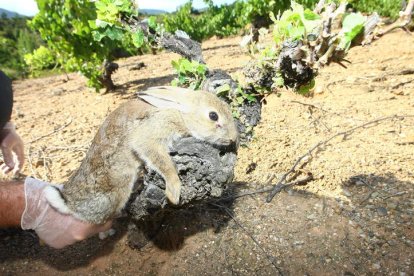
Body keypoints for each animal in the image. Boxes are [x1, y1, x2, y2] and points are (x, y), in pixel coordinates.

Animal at [43, 86, 238, 224]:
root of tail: (68, 202)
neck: (181, 113)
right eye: (213, 116)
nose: (232, 138)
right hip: (116, 190)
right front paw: (174, 192)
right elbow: (163, 162)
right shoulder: (151, 134)